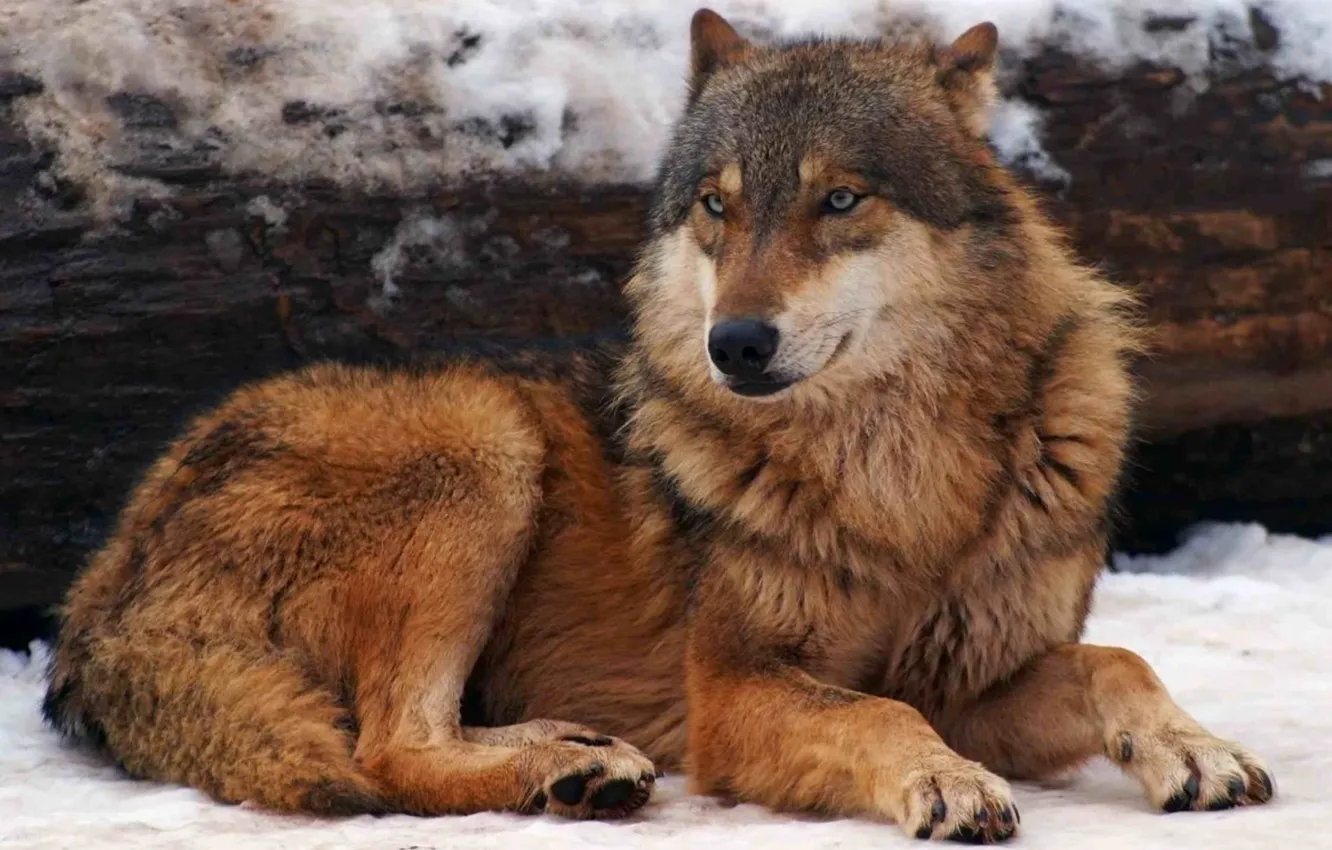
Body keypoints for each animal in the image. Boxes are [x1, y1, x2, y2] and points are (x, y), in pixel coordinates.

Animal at [43, 9, 1274, 843]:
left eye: (840, 199)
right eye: (718, 207)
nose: (737, 343)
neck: (897, 475)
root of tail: (96, 596)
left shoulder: (973, 681)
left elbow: (1116, 657)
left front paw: (1197, 748)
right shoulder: (734, 693)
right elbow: (879, 713)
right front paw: (949, 782)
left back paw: (575, 758)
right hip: (483, 438)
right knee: (387, 749)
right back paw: (565, 769)